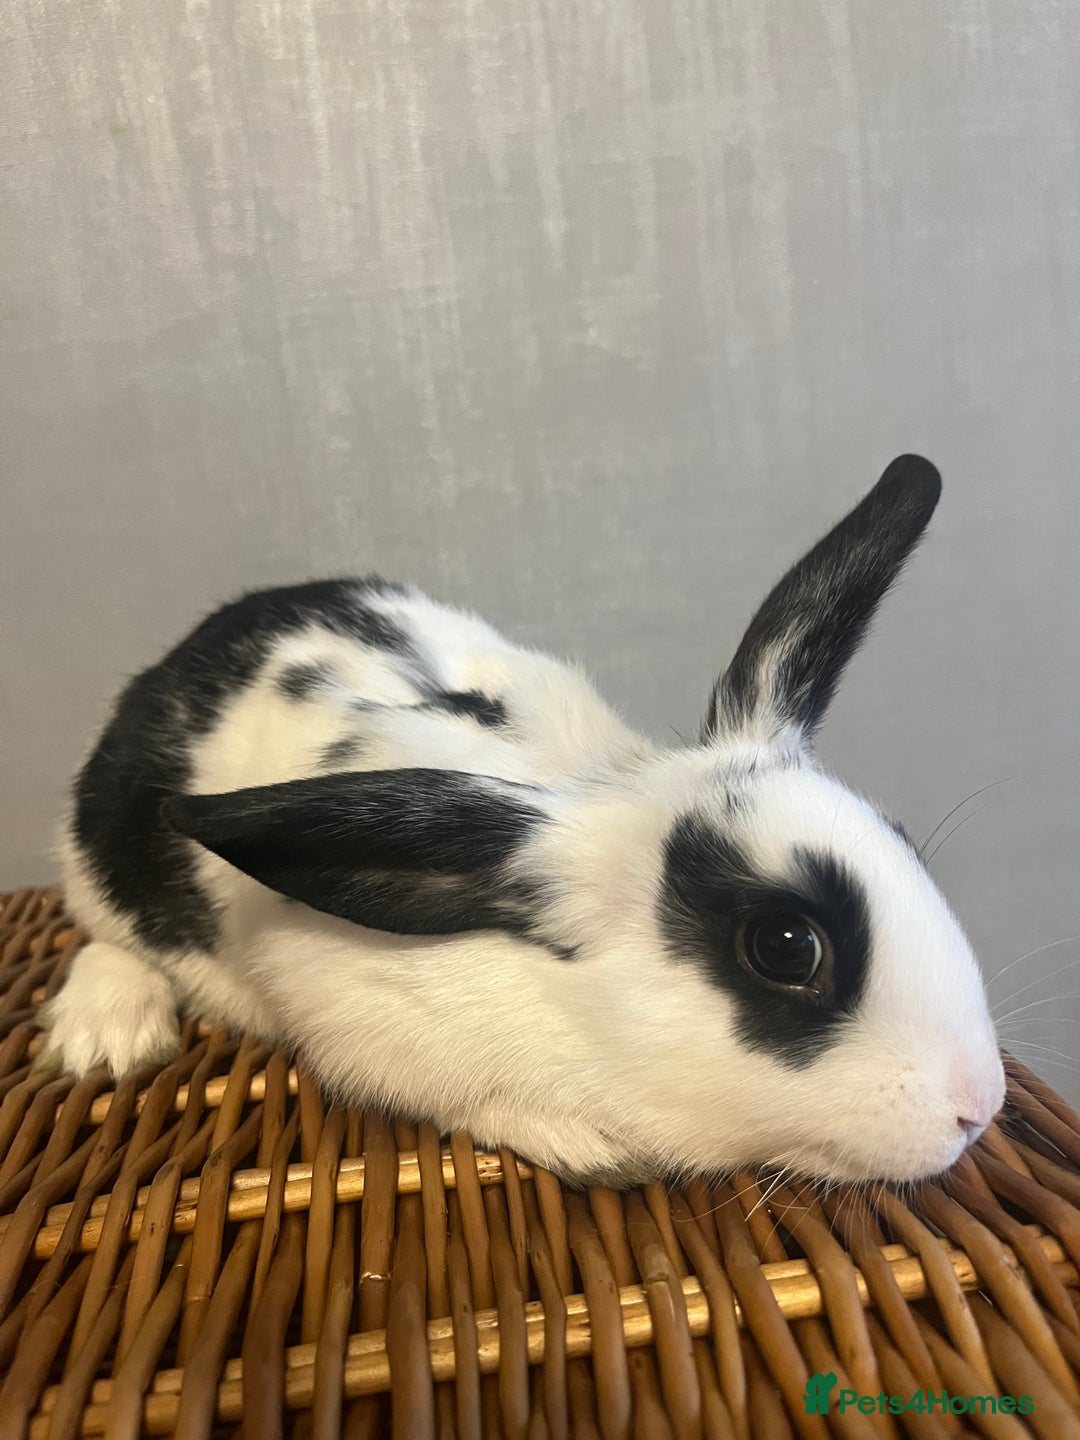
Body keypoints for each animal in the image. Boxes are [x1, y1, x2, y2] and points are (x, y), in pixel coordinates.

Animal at [41, 454, 1005, 1187]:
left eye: (904, 841)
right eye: (784, 947)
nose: (981, 1106)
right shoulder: (364, 1020)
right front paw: (592, 1149)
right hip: (95, 868)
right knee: (106, 939)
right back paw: (105, 1039)